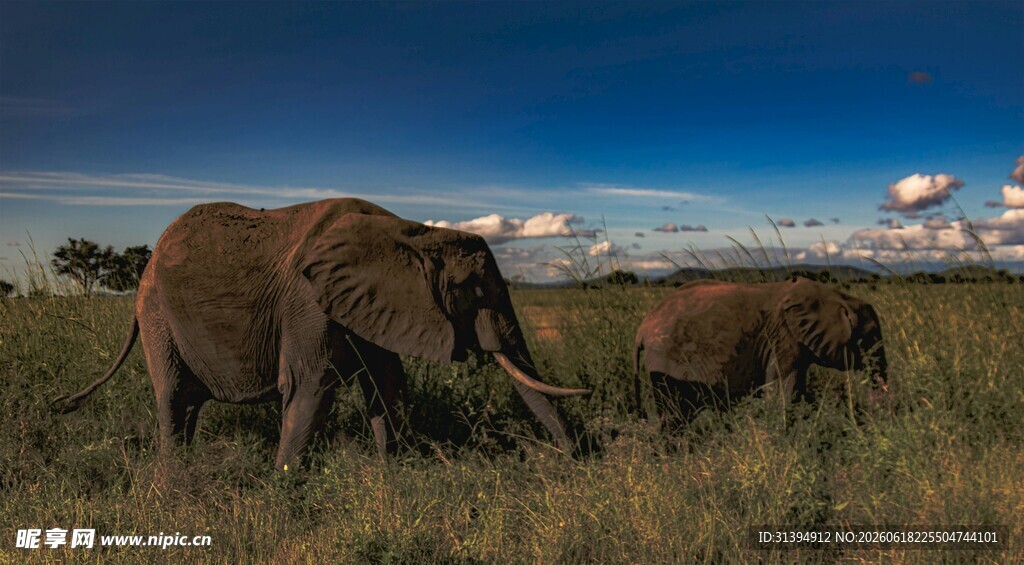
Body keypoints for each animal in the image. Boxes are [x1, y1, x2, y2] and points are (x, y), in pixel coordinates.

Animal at [55, 198, 591, 468]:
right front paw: (282, 495)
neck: (411, 231)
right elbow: (309, 387)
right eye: (471, 289)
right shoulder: (308, 302)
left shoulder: (371, 303)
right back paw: (176, 488)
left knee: (186, 402)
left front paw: (396, 477)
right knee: (171, 398)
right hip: (156, 317)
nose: (575, 461)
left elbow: (387, 386)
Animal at [634, 277, 887, 426]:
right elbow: (784, 392)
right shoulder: (783, 338)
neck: (834, 296)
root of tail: (643, 327)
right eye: (869, 338)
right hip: (667, 359)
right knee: (675, 416)